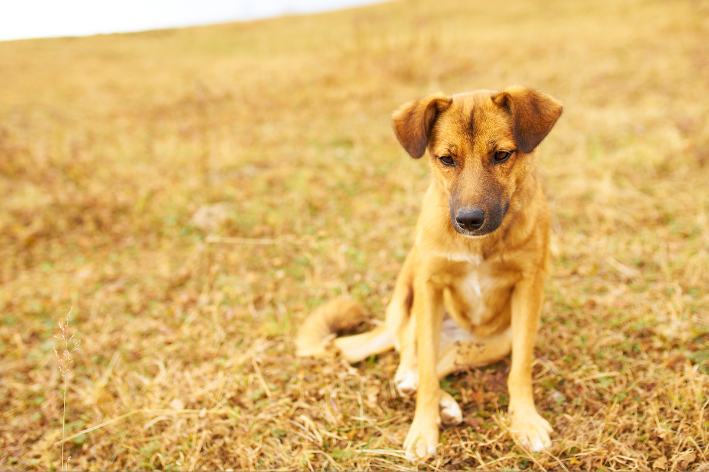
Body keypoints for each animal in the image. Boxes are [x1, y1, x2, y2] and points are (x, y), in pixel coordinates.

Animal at [294, 85, 560, 458]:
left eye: (502, 155)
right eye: (447, 159)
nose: (469, 220)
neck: (480, 245)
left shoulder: (528, 287)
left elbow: (520, 366)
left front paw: (525, 420)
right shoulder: (429, 285)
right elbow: (428, 377)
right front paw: (423, 429)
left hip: (489, 342)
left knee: (434, 364)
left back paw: (443, 404)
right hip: (412, 279)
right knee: (412, 358)